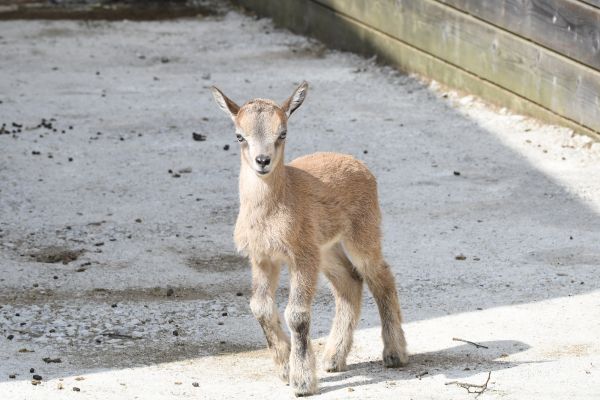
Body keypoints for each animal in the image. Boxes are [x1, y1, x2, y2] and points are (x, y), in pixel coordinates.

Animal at [211, 83, 408, 396]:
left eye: (282, 133)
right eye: (239, 136)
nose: (263, 162)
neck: (275, 207)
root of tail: (360, 165)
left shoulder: (301, 255)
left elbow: (297, 314)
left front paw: (302, 381)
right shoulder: (263, 257)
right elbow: (260, 307)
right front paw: (285, 369)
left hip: (362, 233)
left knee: (381, 277)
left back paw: (394, 354)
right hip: (327, 248)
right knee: (350, 281)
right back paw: (333, 358)